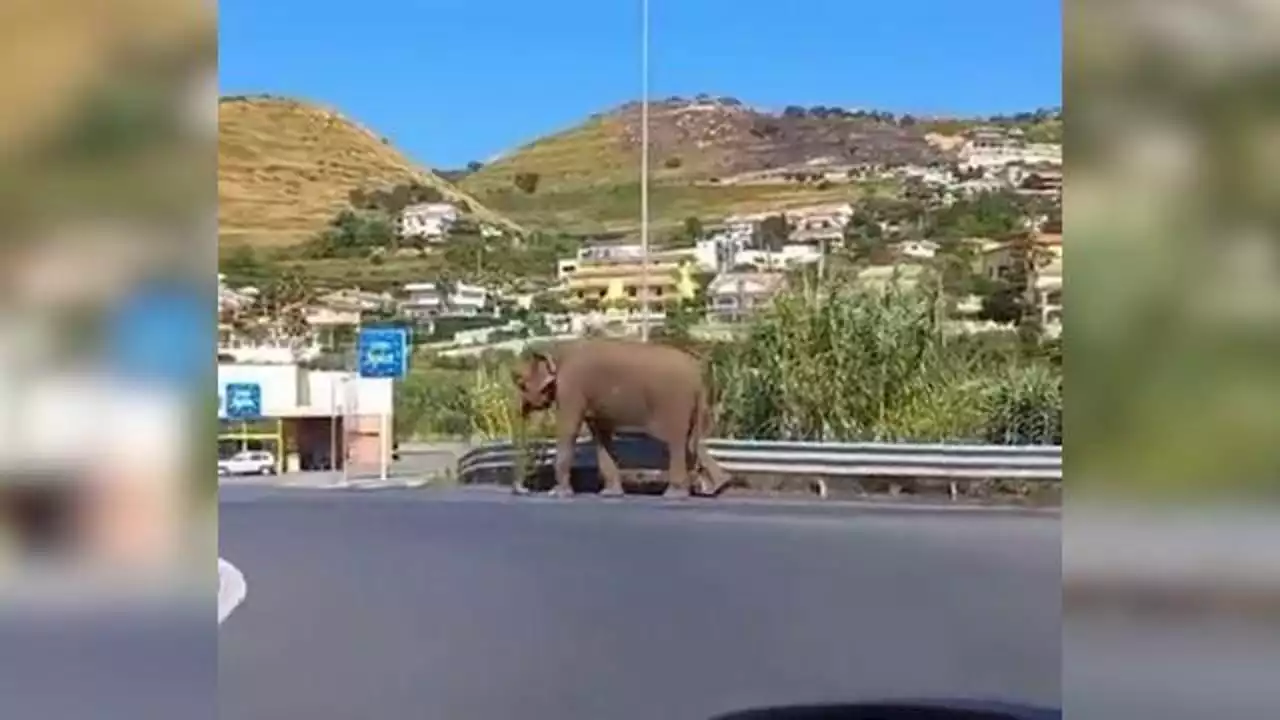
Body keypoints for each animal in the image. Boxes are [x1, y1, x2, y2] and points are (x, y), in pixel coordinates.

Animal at [506, 338, 737, 499]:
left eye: (521, 383)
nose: (521, 490)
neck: (557, 348)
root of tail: (699, 377)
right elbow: (601, 435)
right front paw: (610, 494)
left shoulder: (572, 386)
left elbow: (568, 429)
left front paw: (558, 493)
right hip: (691, 405)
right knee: (692, 442)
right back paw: (719, 487)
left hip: (674, 402)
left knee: (676, 441)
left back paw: (674, 494)